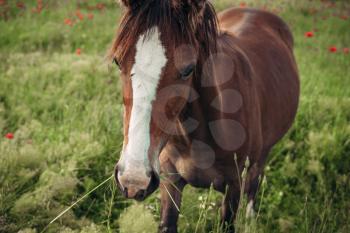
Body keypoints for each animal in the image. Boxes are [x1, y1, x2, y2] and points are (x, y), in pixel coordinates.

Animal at [110, 0, 300, 232]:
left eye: (188, 70)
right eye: (118, 62)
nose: (134, 179)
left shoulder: (234, 186)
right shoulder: (170, 182)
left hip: (262, 153)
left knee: (255, 183)